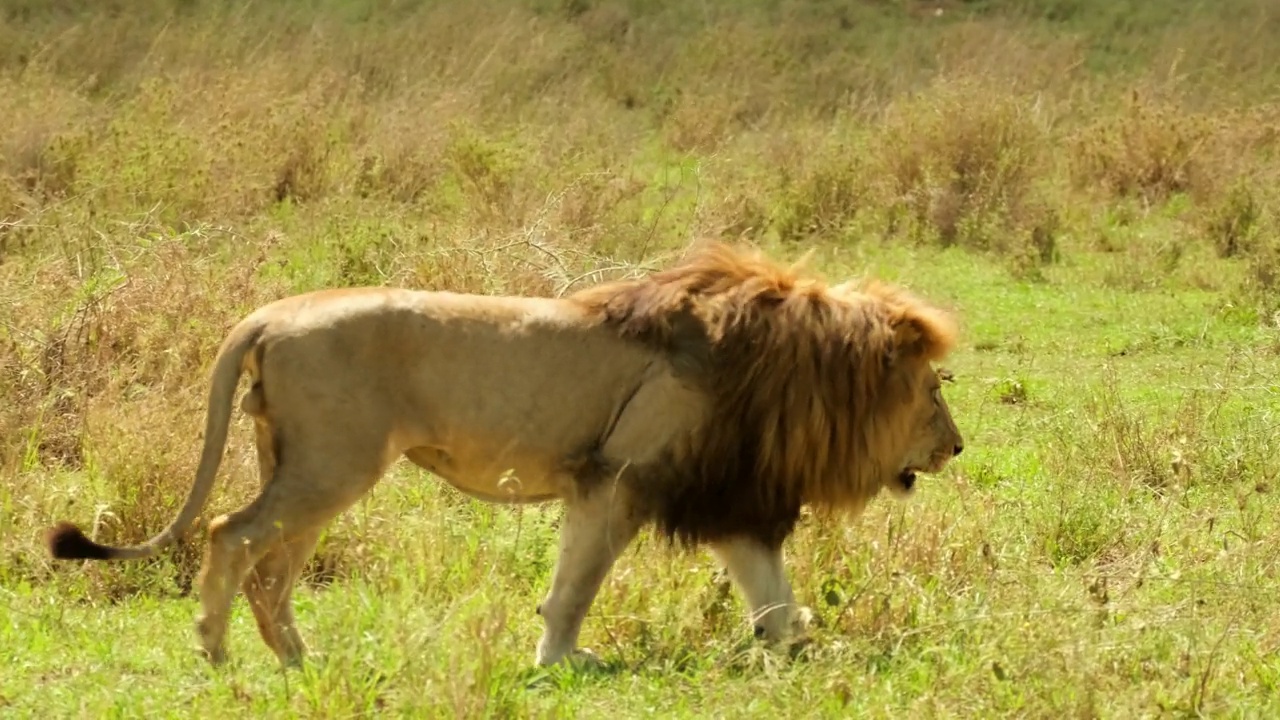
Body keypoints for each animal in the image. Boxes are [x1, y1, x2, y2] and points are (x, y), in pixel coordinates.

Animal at [47, 240, 962, 666]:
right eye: (936, 388)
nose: (957, 446)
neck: (787, 371)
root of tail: (270, 313)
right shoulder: (617, 478)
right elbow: (575, 587)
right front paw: (561, 661)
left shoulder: (732, 500)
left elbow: (772, 595)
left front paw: (802, 653)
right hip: (331, 465)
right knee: (228, 536)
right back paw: (216, 651)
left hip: (308, 468)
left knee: (269, 569)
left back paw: (300, 661)